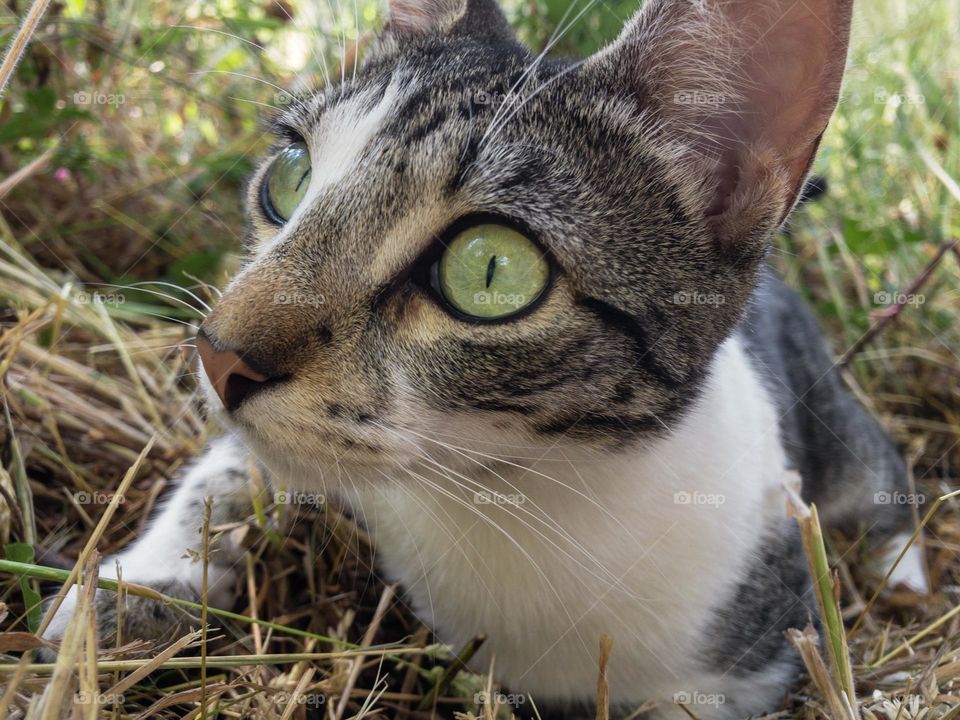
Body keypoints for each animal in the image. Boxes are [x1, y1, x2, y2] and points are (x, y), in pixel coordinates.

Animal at [41, 2, 928, 716]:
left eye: (492, 269)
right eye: (289, 178)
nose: (218, 353)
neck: (505, 502)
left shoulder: (742, 663)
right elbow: (229, 467)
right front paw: (136, 589)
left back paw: (904, 574)